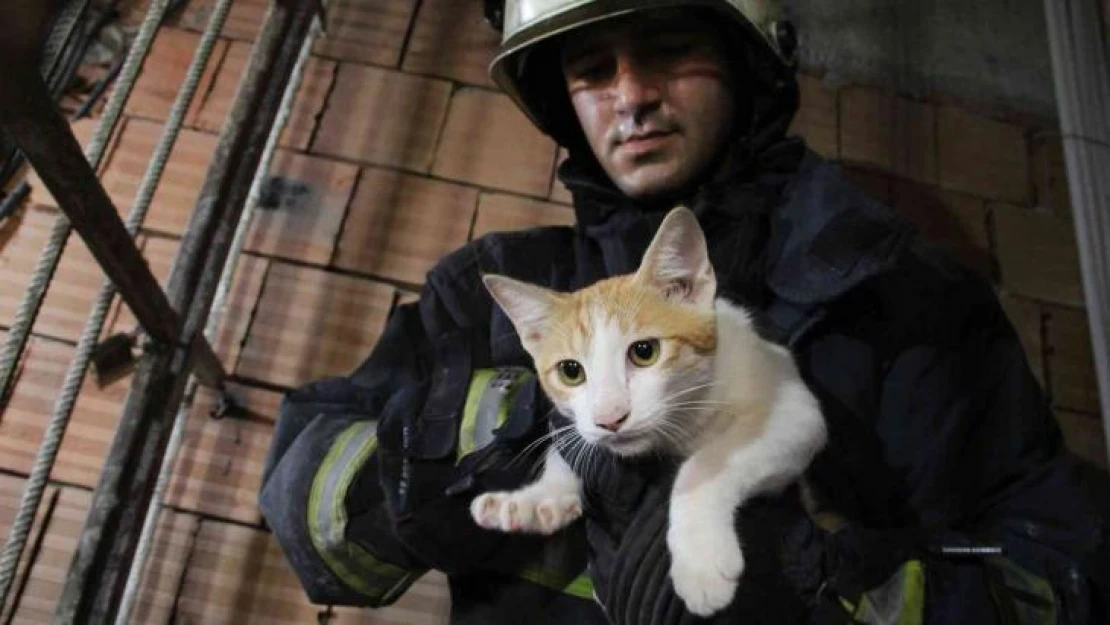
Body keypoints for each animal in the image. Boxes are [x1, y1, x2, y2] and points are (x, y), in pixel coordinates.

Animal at [472, 207, 830, 617]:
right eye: (570, 371)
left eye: (645, 352)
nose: (610, 418)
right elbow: (574, 444)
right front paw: (538, 500)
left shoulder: (796, 411)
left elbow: (706, 462)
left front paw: (701, 559)